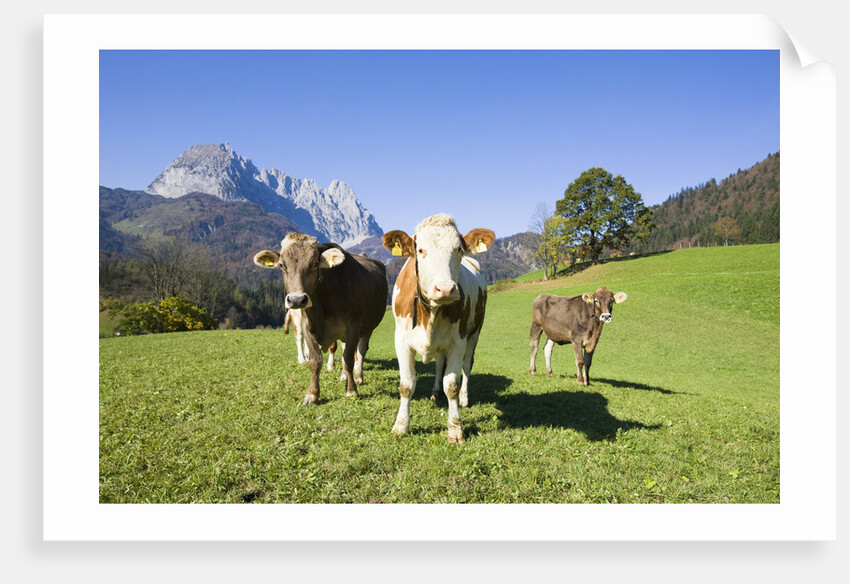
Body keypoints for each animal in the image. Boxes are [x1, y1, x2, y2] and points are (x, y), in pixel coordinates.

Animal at [254, 234, 388, 405]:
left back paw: (358, 376)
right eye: (282, 265)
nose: (297, 300)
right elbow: (315, 362)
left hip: (368, 327)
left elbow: (349, 359)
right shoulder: (307, 328)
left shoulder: (353, 328)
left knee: (361, 350)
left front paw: (351, 390)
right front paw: (312, 395)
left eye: (315, 263)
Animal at [382, 213, 495, 444]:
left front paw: (455, 430)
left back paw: (464, 398)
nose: (445, 289)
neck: (430, 313)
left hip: (475, 332)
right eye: (420, 250)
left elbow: (451, 385)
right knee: (439, 364)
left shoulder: (458, 342)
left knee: (467, 365)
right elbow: (406, 385)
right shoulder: (401, 341)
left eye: (458, 249)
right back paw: (435, 392)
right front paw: (401, 425)